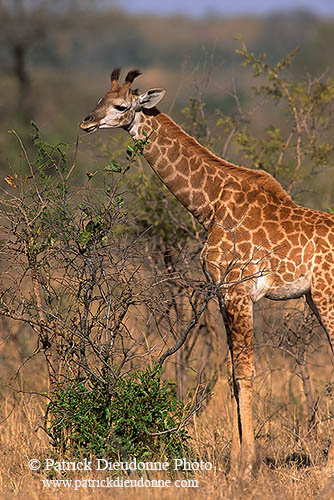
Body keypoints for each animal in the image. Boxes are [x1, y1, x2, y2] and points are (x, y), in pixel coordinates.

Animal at [80, 68, 334, 478]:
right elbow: (230, 374)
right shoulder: (221, 293)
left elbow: (243, 373)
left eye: (120, 106)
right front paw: (235, 461)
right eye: (101, 98)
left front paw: (246, 467)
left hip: (326, 295)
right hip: (314, 297)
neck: (208, 204)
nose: (86, 122)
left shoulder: (237, 290)